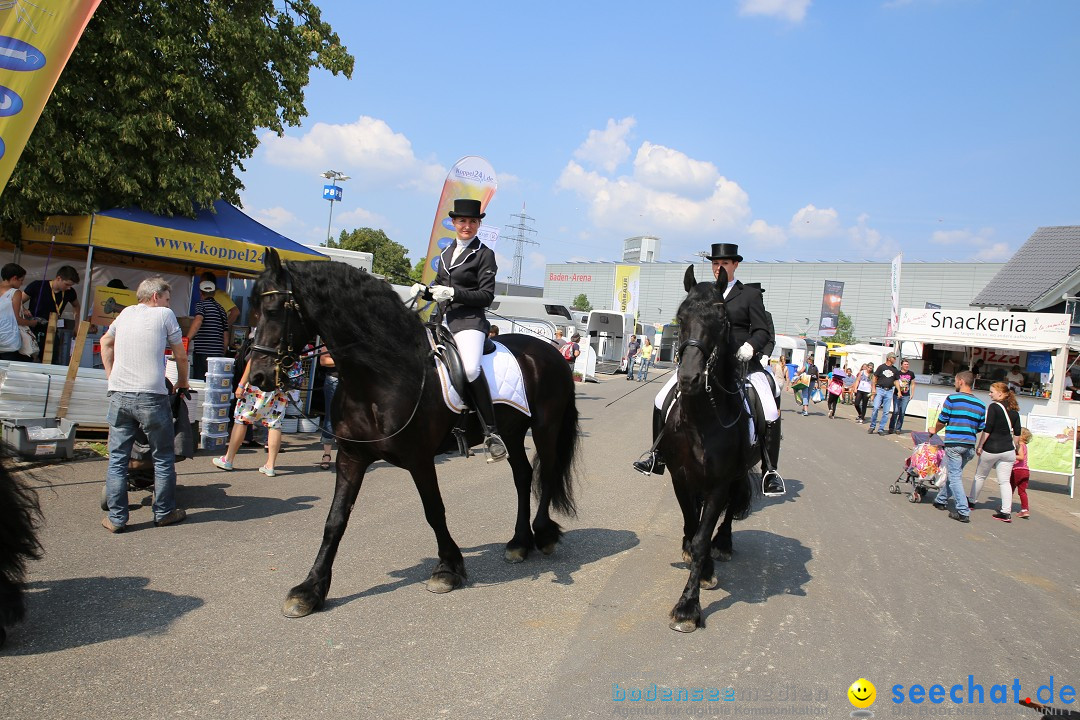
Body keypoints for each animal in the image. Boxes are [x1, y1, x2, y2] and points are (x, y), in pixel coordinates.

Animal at [247, 250, 578, 617]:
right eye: (253, 308)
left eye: (274, 309)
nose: (258, 377)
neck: (381, 374)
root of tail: (551, 352)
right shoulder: (351, 456)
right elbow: (335, 520)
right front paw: (309, 589)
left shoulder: (419, 458)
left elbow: (434, 510)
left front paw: (447, 569)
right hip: (510, 432)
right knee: (523, 475)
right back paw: (519, 543)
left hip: (546, 427)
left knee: (546, 473)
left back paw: (543, 535)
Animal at [656, 264, 751, 630]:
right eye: (681, 316)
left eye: (721, 319)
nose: (690, 379)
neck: (700, 422)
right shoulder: (680, 477)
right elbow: (691, 527)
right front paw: (702, 571)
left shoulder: (719, 484)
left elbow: (701, 537)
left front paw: (687, 607)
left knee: (729, 513)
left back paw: (722, 544)